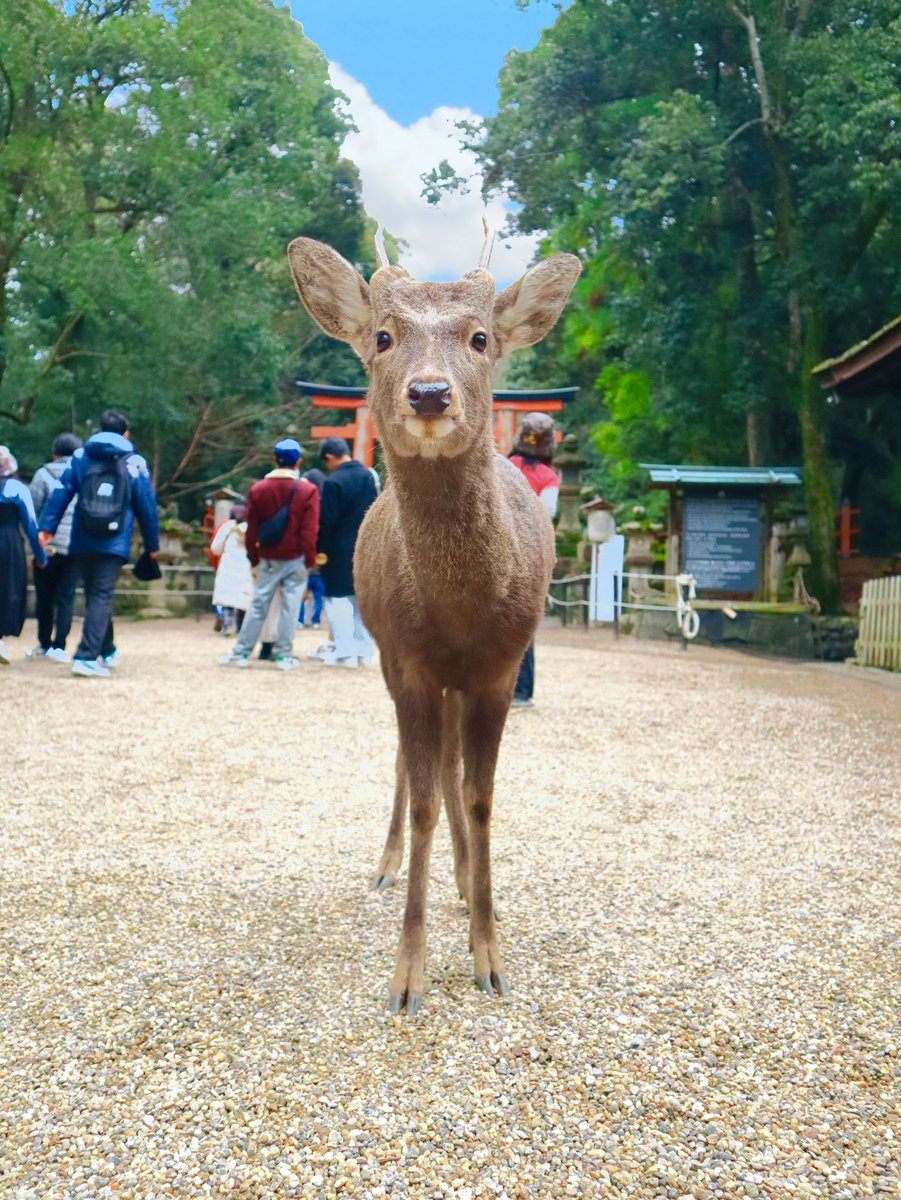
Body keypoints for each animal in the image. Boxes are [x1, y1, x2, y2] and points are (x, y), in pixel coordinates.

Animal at [287, 229, 580, 1015]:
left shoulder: (501, 666)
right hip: (394, 663)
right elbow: (422, 799)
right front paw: (407, 978)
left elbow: (479, 800)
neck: (459, 614)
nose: (427, 392)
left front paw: (490, 957)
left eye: (480, 338)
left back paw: (465, 882)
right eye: (383, 337)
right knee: (408, 765)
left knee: (449, 769)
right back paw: (390, 866)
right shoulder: (411, 661)